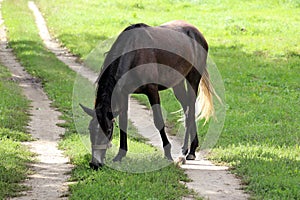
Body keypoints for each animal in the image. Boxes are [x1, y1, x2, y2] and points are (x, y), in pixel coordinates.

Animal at [81, 20, 214, 170]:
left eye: (108, 130)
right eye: (90, 129)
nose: (95, 163)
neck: (134, 53)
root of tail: (196, 33)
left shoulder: (152, 91)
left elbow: (159, 121)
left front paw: (168, 154)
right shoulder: (124, 93)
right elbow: (123, 121)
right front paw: (120, 155)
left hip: (193, 79)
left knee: (190, 110)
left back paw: (189, 151)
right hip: (177, 84)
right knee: (186, 109)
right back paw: (187, 148)